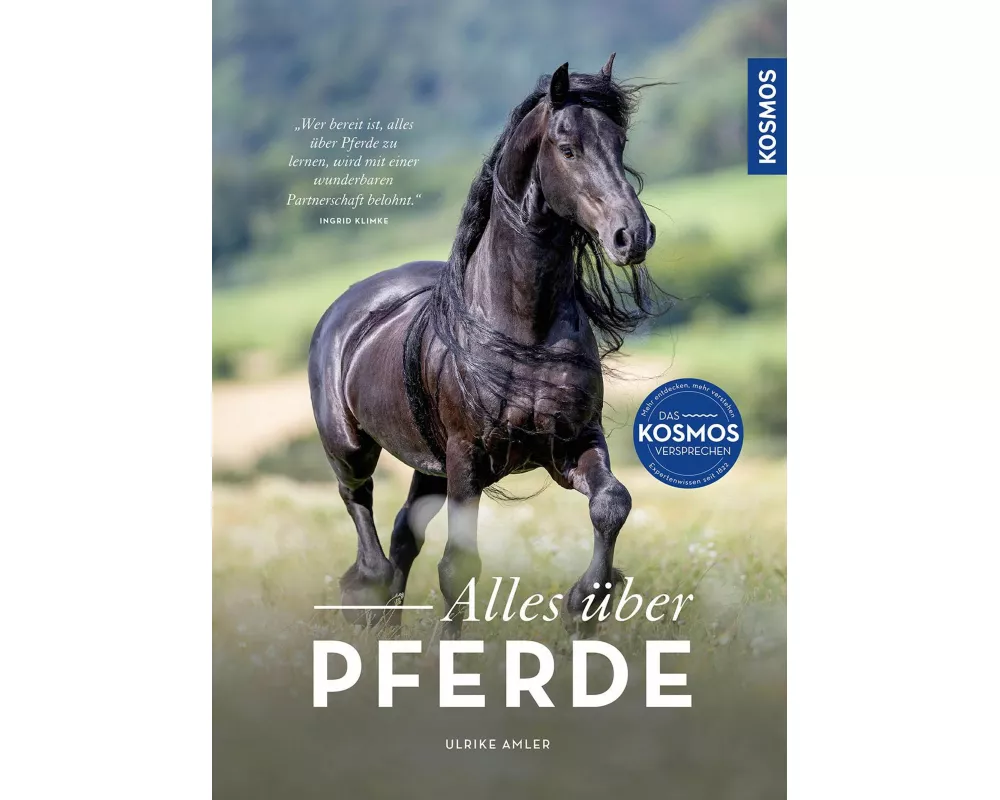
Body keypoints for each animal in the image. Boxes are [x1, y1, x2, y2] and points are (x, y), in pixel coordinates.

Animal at [309, 55, 660, 638]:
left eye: (621, 141)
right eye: (568, 148)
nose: (632, 236)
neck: (525, 329)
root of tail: (348, 304)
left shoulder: (571, 442)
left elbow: (612, 502)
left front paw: (586, 603)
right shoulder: (467, 458)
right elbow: (459, 563)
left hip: (429, 467)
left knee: (404, 533)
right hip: (353, 448)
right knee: (361, 508)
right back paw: (368, 596)